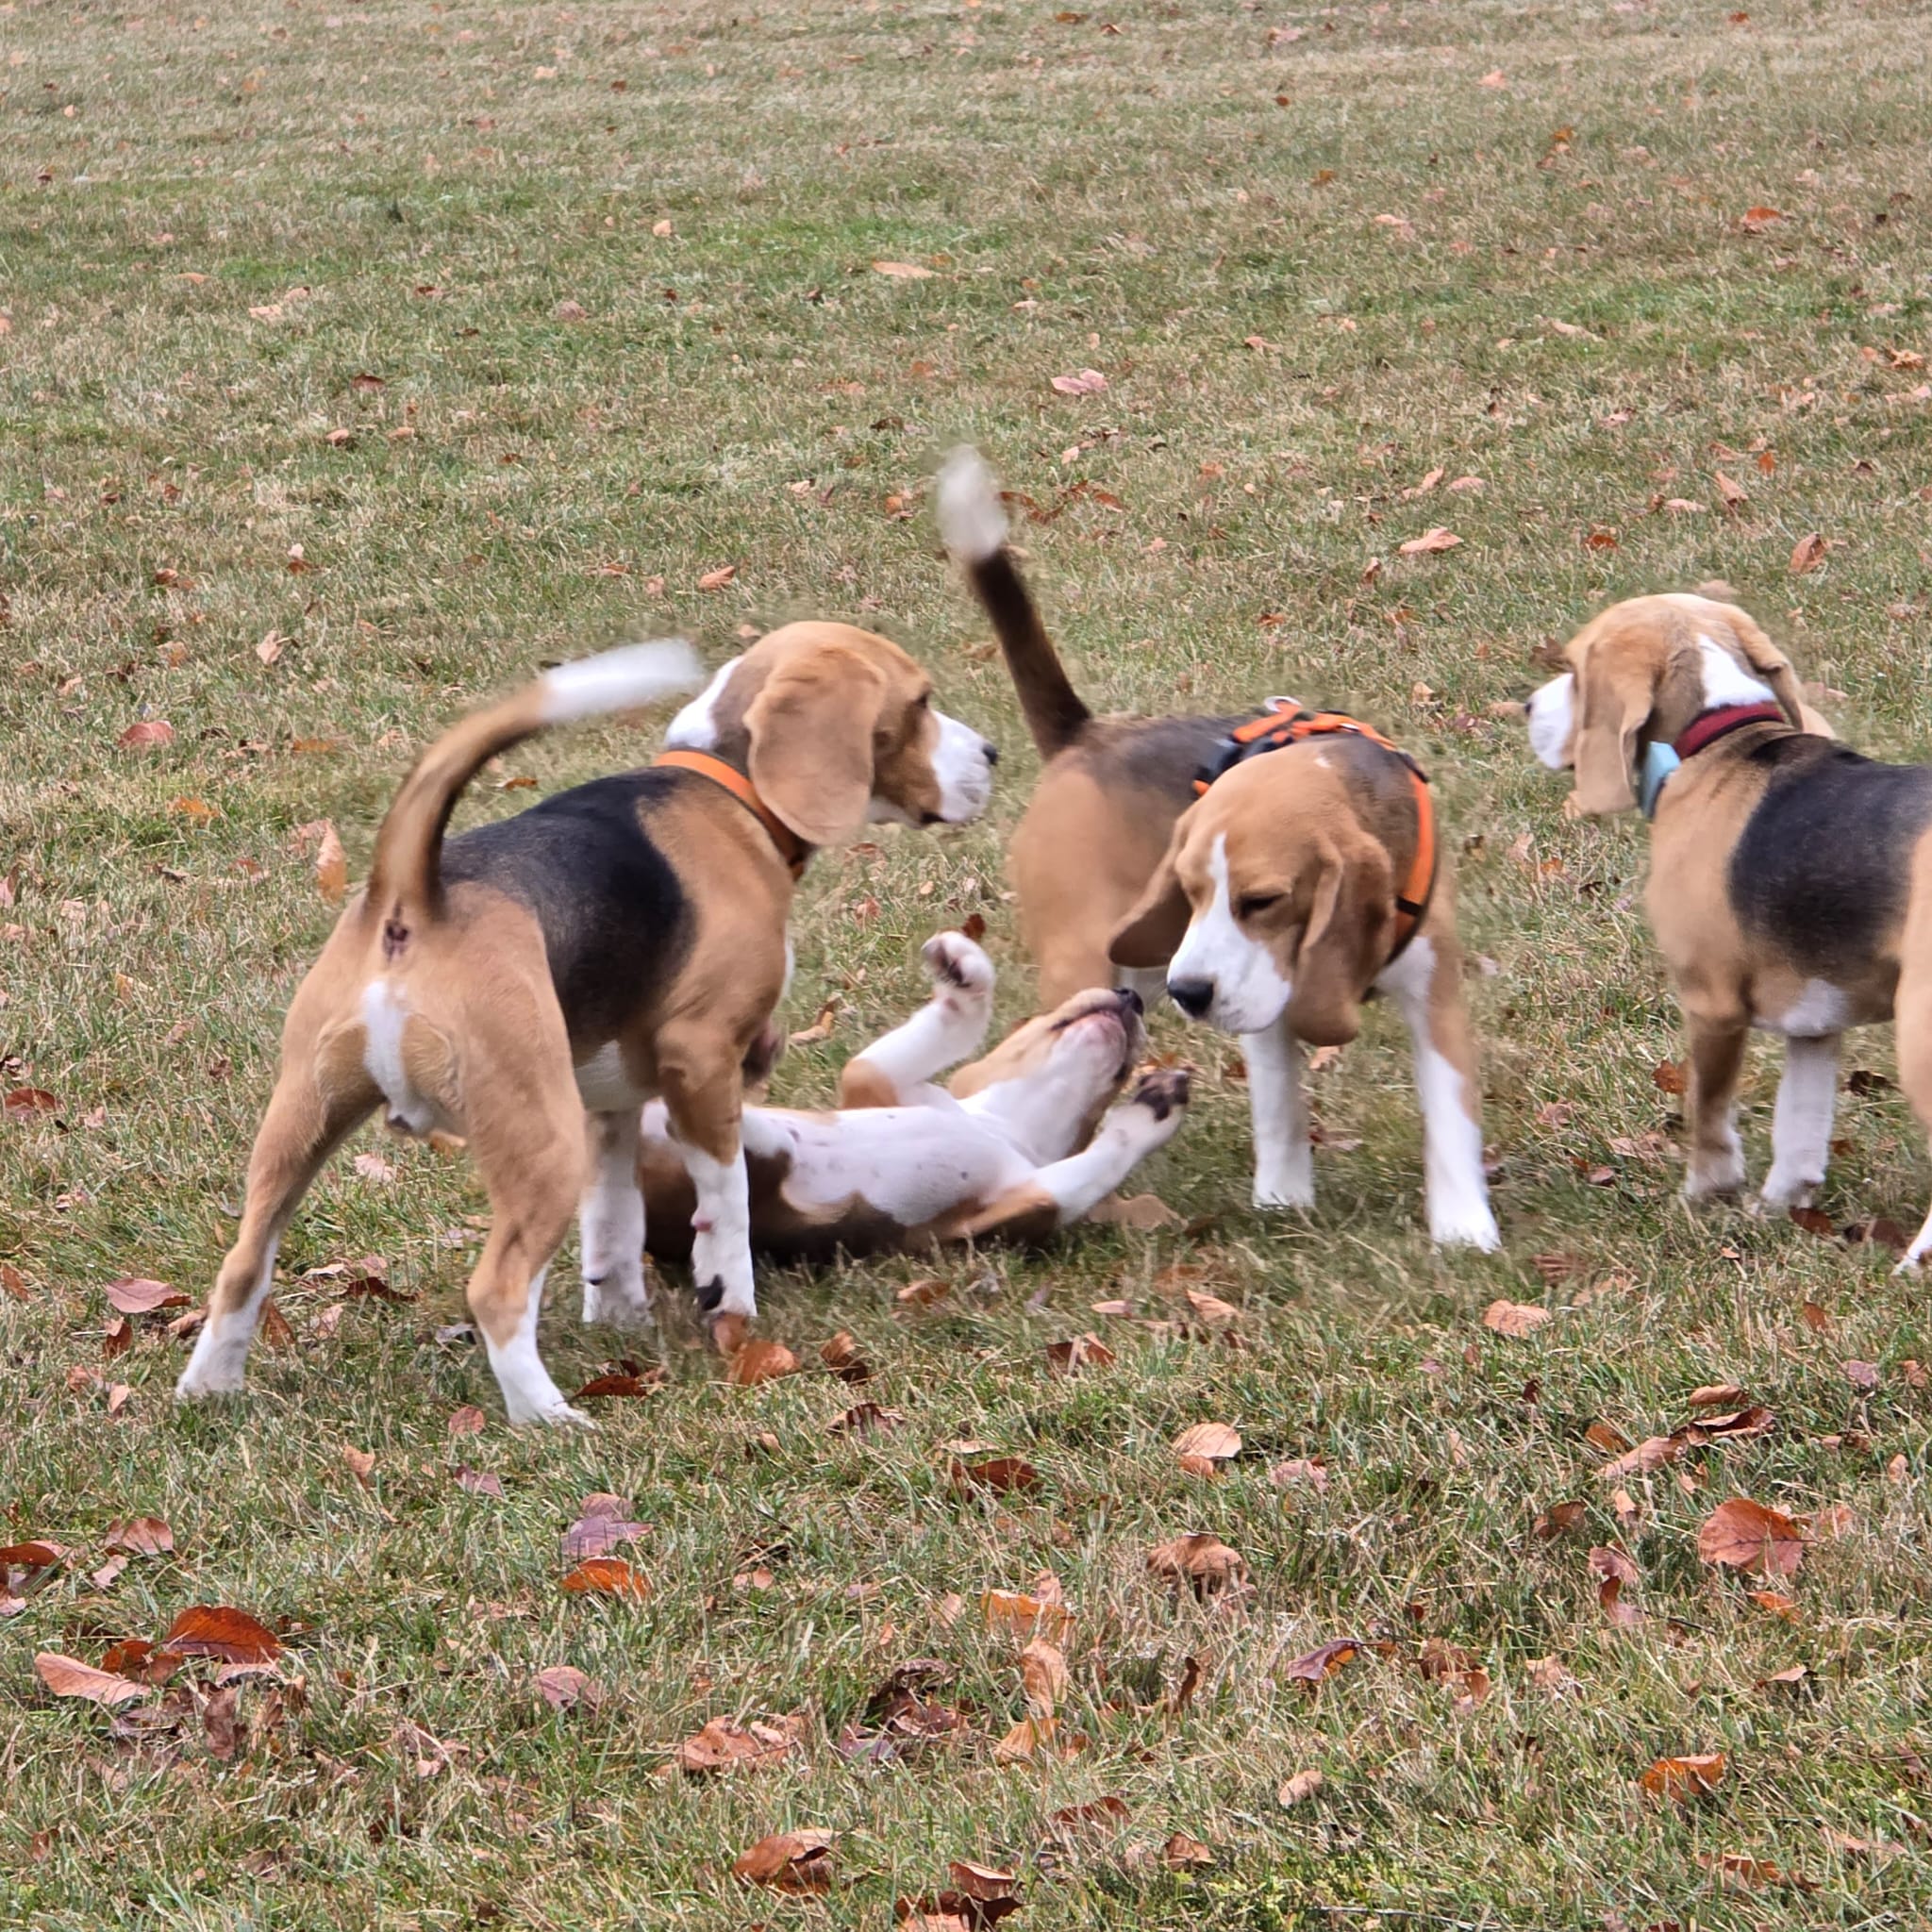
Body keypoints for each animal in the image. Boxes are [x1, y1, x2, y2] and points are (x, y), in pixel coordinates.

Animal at [178, 625, 997, 1425]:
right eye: (919, 703)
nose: (992, 754)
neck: (722, 788)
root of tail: (417, 897)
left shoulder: (610, 1102)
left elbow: (614, 1216)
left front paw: (619, 1314)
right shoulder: (703, 1058)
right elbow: (725, 1198)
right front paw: (729, 1301)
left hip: (302, 1118)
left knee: (243, 1265)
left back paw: (208, 1388)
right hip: (541, 1143)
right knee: (498, 1290)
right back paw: (547, 1417)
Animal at [635, 930, 1190, 1260]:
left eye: (1122, 1075)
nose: (1133, 996)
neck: (1007, 1129)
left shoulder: (1023, 1204)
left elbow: (1108, 1152)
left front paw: (1152, 1108)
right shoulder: (874, 1079)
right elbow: (952, 1024)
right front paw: (965, 970)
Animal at [938, 447, 1497, 1248]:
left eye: (1262, 901)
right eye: (1192, 891)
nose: (1193, 993)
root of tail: (1086, 735)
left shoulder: (1434, 988)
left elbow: (1450, 1114)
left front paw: (1463, 1231)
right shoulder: (1259, 1002)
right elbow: (1280, 1106)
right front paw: (1284, 1202)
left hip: (1138, 967)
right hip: (1087, 960)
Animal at [1522, 589, 1932, 1237]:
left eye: (1577, 669)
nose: (1527, 705)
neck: (1720, 742)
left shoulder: (1710, 1004)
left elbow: (1709, 1113)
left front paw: (1704, 1197)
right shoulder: (1815, 1021)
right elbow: (1799, 1128)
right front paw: (1779, 1209)